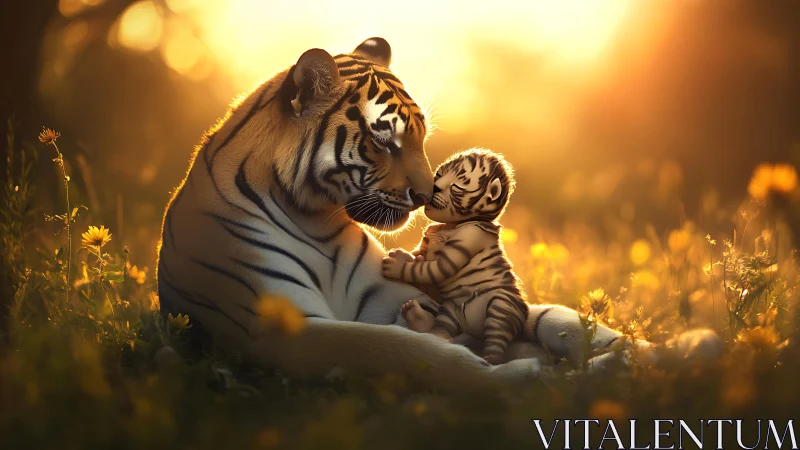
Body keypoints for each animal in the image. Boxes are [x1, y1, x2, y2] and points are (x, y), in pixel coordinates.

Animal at [382, 149, 528, 365]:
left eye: (456, 186)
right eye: (439, 175)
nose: (434, 187)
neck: (452, 224)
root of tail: (474, 329)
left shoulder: (469, 237)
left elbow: (435, 267)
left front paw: (396, 264)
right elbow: (420, 257)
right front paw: (406, 255)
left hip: (503, 305)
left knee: (497, 334)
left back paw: (490, 359)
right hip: (451, 312)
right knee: (441, 331)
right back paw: (418, 318)